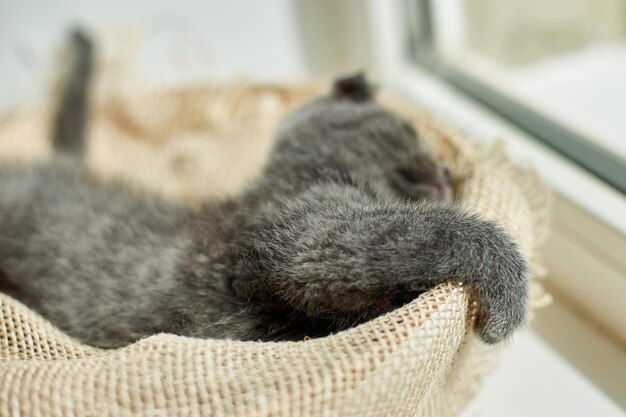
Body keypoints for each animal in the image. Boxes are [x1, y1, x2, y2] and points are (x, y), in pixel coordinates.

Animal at [0, 32, 528, 346]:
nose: (447, 170)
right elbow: (435, 231)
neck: (303, 173)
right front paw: (509, 290)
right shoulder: (309, 237)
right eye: (412, 131)